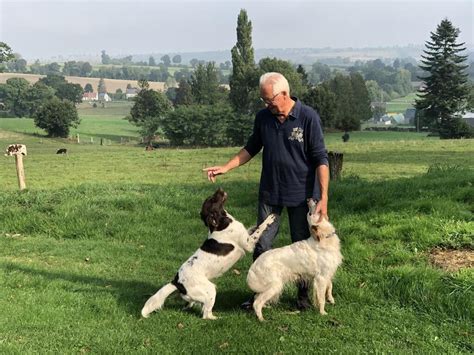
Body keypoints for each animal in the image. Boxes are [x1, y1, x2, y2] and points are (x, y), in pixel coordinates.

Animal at [140, 191, 274, 322]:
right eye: (212, 200)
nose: (220, 189)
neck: (221, 223)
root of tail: (177, 281)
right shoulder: (248, 244)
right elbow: (260, 228)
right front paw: (270, 218)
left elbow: (253, 228)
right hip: (210, 290)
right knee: (206, 314)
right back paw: (218, 318)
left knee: (197, 305)